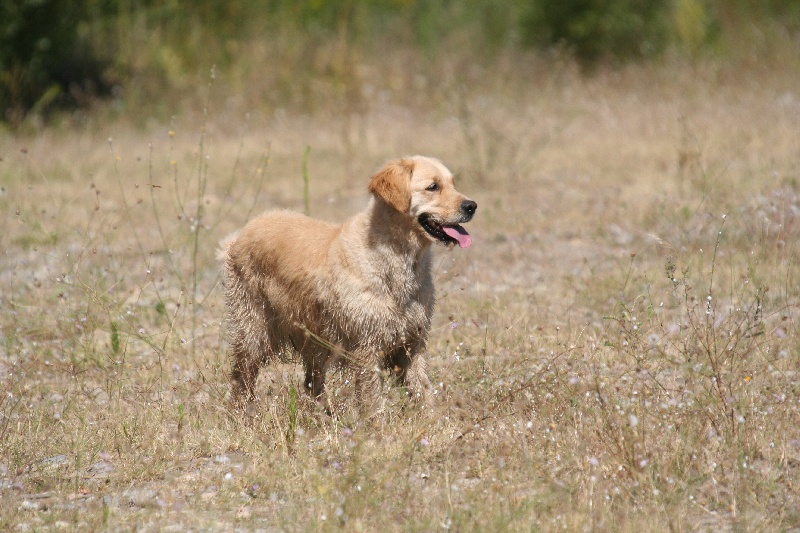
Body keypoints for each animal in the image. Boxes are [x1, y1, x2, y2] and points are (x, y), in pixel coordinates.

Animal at [219, 156, 476, 414]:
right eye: (433, 187)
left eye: (453, 184)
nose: (471, 206)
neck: (396, 259)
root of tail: (241, 233)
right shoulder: (367, 346)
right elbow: (373, 400)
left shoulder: (413, 343)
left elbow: (423, 393)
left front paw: (431, 419)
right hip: (254, 331)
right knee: (242, 377)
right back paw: (241, 413)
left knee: (311, 383)